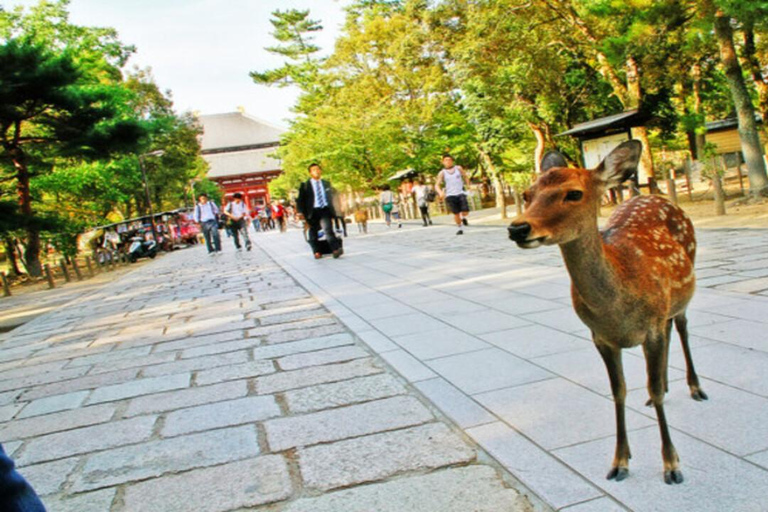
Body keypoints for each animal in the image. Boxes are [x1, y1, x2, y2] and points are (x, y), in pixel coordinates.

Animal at [510, 140, 708, 484]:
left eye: (574, 193)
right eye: (527, 193)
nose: (518, 227)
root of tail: (651, 195)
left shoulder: (651, 328)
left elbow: (653, 390)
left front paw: (672, 466)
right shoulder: (600, 337)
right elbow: (619, 391)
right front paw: (620, 462)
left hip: (683, 288)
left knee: (681, 324)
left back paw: (695, 388)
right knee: (670, 332)